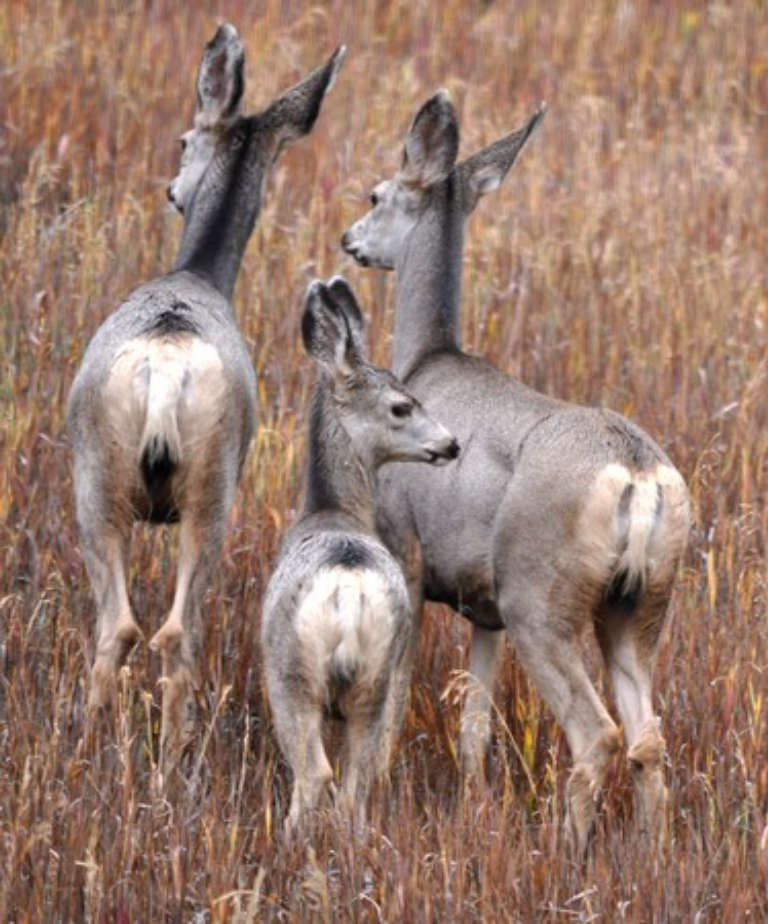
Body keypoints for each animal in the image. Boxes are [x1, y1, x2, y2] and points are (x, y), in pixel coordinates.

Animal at [69, 23, 344, 756]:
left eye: (182, 140)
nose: (171, 187)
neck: (198, 274)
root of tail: (167, 367)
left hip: (127, 484)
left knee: (142, 629)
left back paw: (118, 754)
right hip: (198, 482)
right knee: (156, 631)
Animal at [260, 274, 460, 832]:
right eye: (402, 405)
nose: (451, 443)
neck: (334, 512)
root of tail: (348, 591)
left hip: (291, 675)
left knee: (316, 775)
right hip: (377, 676)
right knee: (357, 782)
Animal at [342, 92, 688, 852]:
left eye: (377, 194)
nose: (350, 240)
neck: (427, 360)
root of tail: (637, 475)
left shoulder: (406, 550)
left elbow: (395, 696)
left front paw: (372, 787)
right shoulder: (487, 608)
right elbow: (474, 722)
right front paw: (473, 802)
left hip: (543, 596)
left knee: (598, 735)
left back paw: (568, 852)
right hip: (641, 604)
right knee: (649, 737)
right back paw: (654, 855)